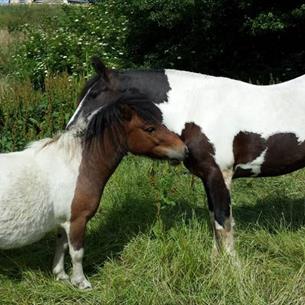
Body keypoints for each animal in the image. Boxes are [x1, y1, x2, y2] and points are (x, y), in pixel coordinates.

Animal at [67, 56, 305, 256]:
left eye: (95, 94)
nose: (70, 129)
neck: (197, 106)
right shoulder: (208, 176)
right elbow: (214, 220)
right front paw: (216, 261)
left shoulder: (220, 174)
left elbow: (223, 221)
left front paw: (232, 267)